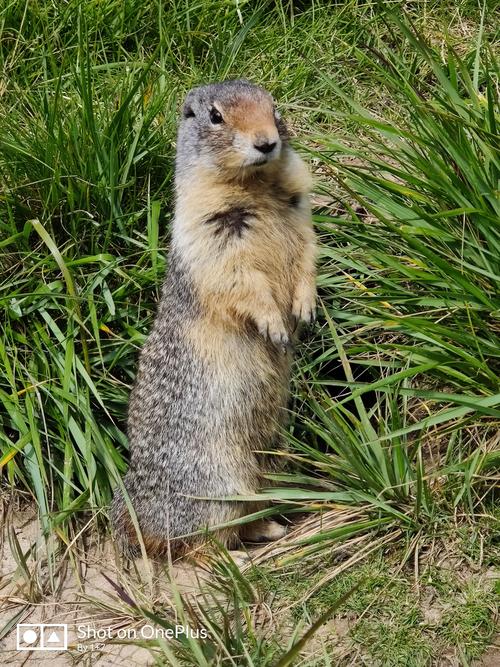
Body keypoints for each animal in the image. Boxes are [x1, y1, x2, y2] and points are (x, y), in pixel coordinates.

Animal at [112, 78, 318, 560]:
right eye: (215, 116)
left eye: (274, 108)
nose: (266, 142)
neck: (255, 187)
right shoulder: (210, 233)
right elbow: (239, 280)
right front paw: (275, 324)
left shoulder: (302, 213)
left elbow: (307, 255)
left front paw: (304, 307)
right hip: (217, 484)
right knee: (201, 543)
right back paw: (242, 553)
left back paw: (270, 528)